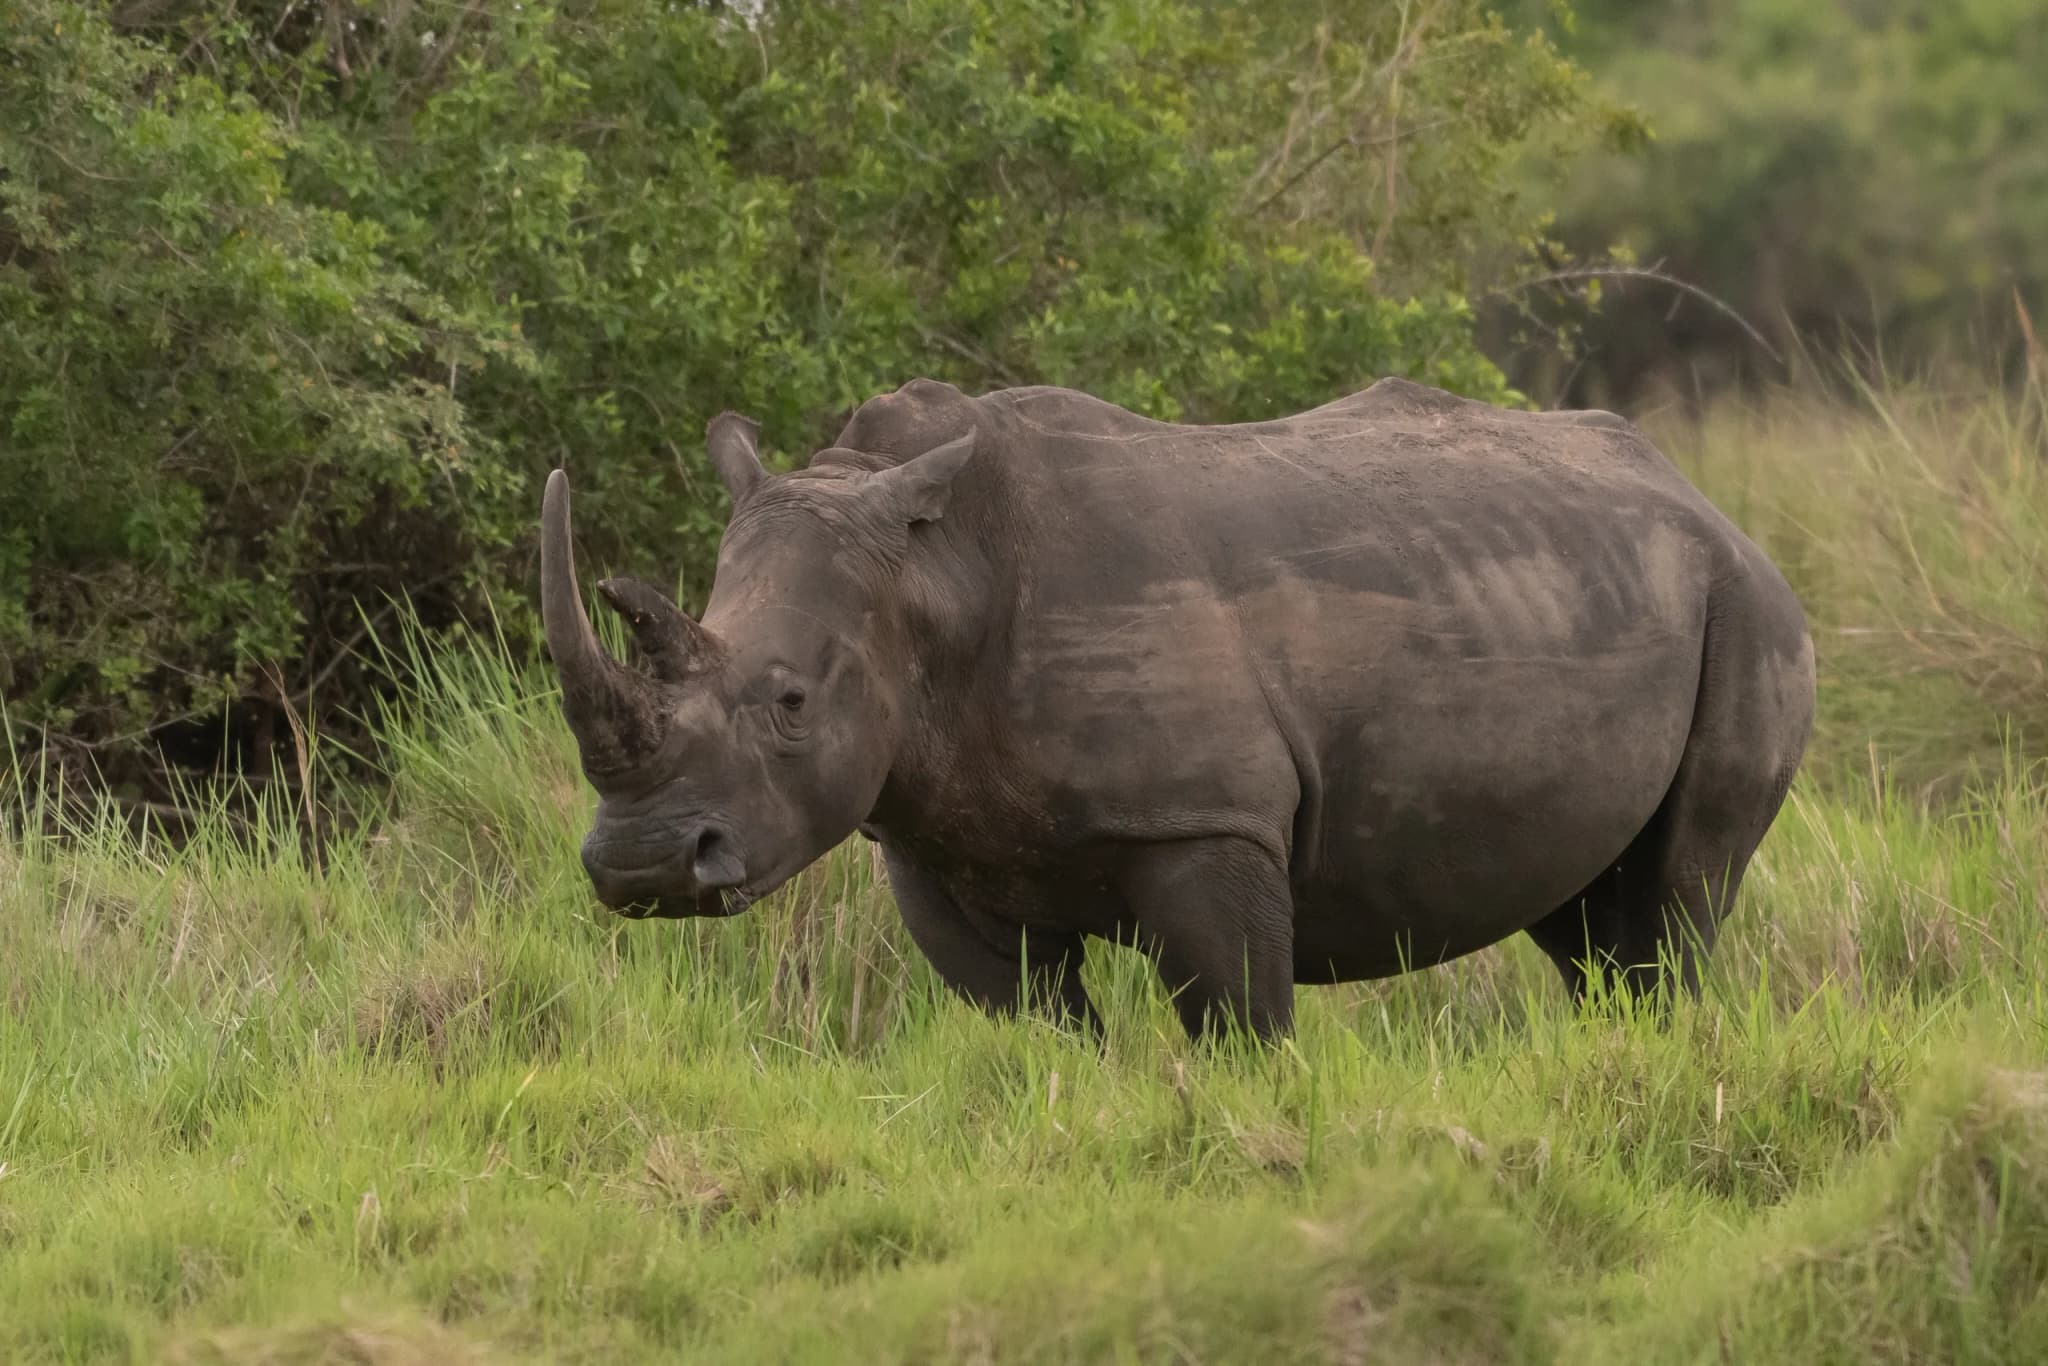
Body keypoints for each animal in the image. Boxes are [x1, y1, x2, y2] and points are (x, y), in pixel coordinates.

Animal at [540, 377, 1814, 1040]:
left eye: (792, 700)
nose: (645, 868)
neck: (935, 575)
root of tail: (1697, 496)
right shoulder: (931, 834)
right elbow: (1030, 1024)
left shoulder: (1205, 819)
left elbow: (1236, 1018)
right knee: (1583, 913)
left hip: (1746, 606)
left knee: (1682, 891)